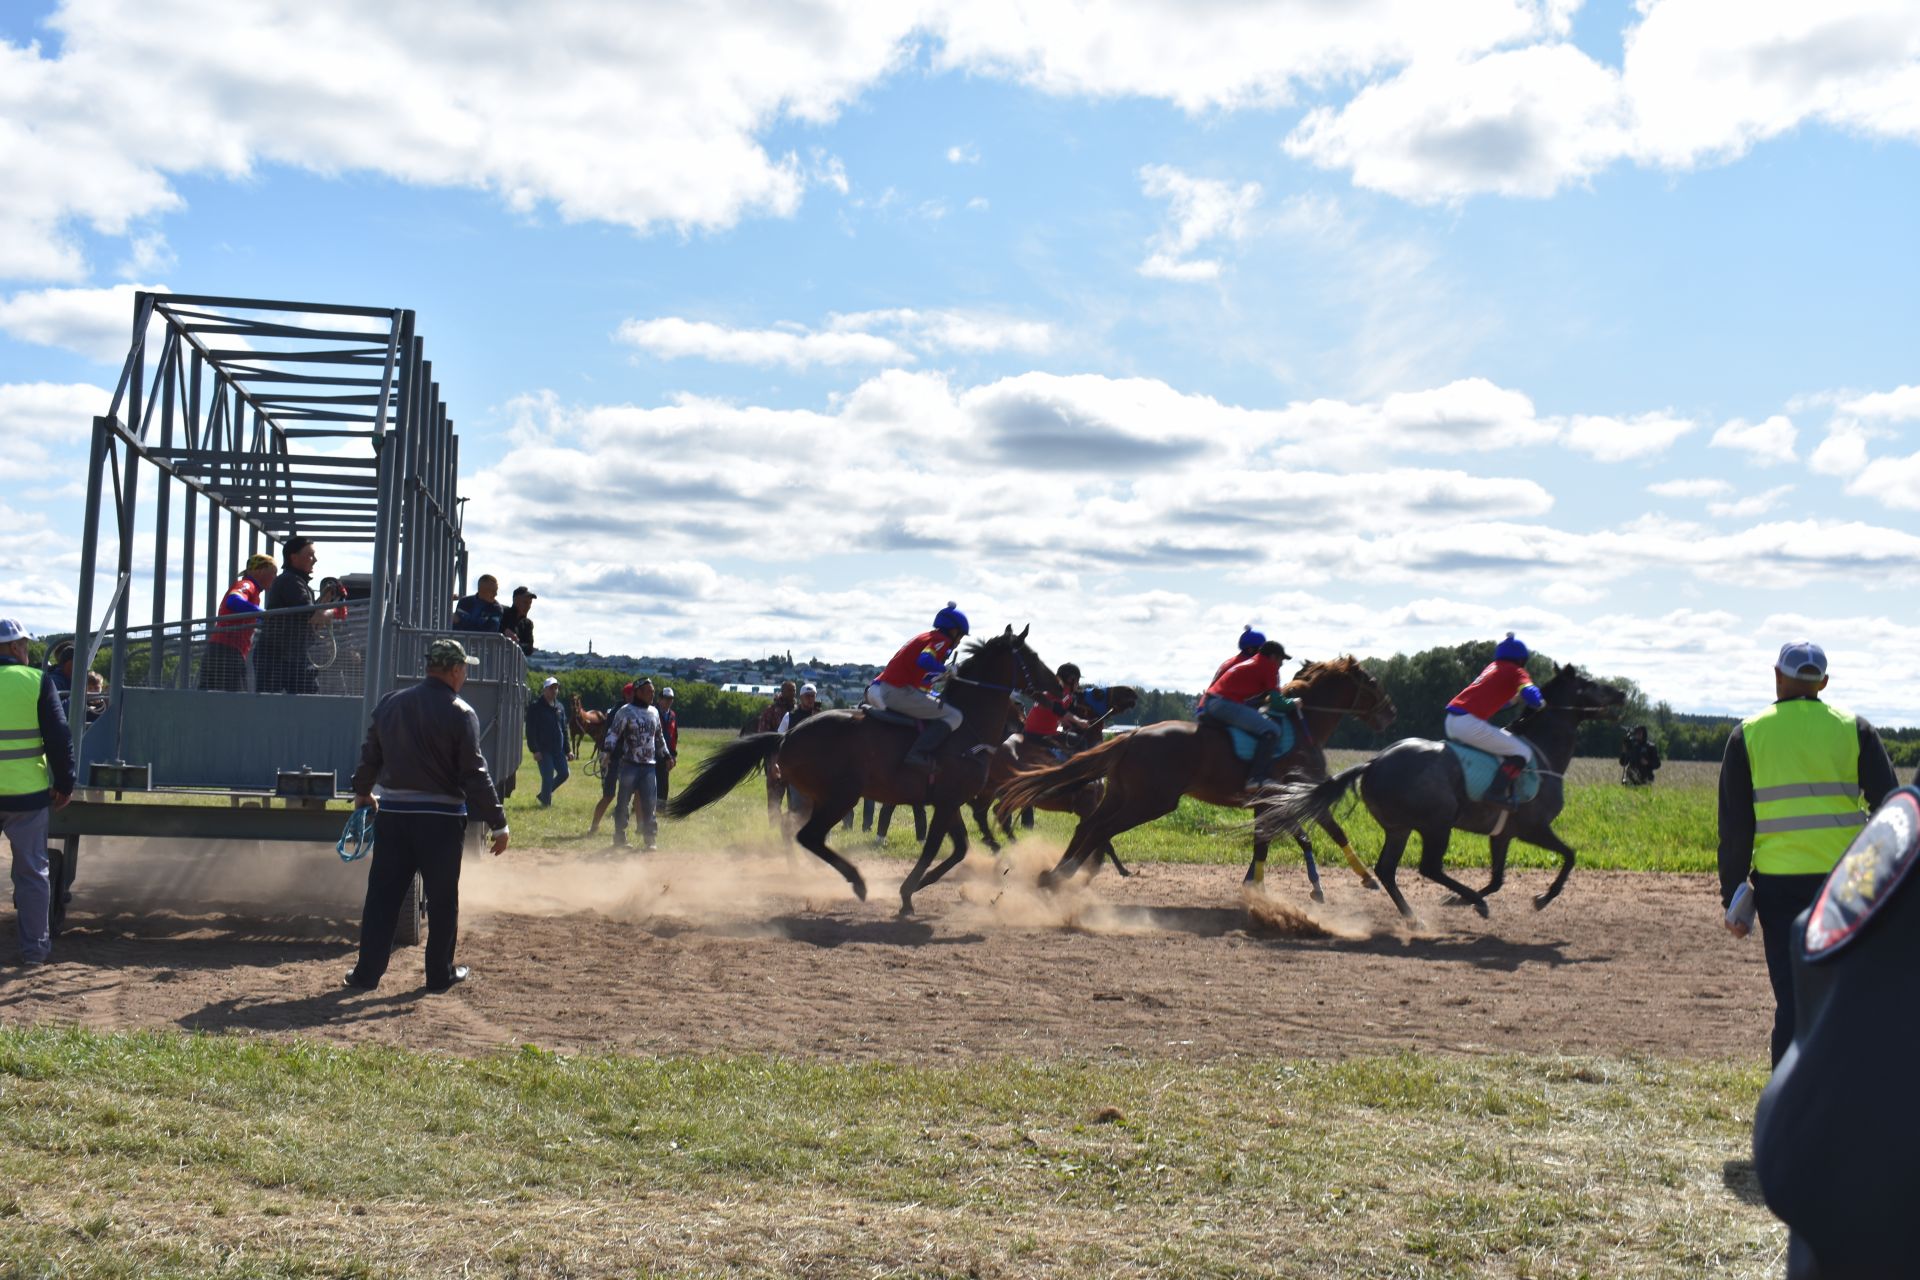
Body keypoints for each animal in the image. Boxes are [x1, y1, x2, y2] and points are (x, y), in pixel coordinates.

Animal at [668, 629, 1067, 909]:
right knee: (807, 835)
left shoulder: (949, 801)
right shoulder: (948, 801)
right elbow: (935, 847)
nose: (1062, 690)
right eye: (1031, 656)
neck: (967, 725)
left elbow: (959, 849)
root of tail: (788, 733)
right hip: (841, 796)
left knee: (796, 830)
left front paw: (920, 885)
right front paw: (907, 893)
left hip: (818, 797)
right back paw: (856, 881)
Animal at [990, 656, 1397, 898]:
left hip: (1122, 794)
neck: (1303, 726)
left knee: (1088, 826)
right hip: (1152, 800)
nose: (1390, 713)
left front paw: (1260, 885)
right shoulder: (1292, 794)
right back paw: (1066, 873)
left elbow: (1273, 841)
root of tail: (1132, 735)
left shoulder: (1279, 799)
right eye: (1373, 682)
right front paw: (1364, 878)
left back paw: (1055, 874)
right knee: (1100, 829)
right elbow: (1325, 832)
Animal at [1259, 660, 1620, 921]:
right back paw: (1466, 903)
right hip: (1437, 823)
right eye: (1590, 683)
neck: (1543, 750)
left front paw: (1457, 900)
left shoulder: (1502, 833)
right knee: (1428, 867)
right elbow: (1569, 856)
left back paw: (1414, 917)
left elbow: (1498, 878)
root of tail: (1374, 762)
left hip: (1399, 827)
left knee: (1387, 869)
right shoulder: (1534, 827)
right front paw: (1542, 898)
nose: (1621, 693)